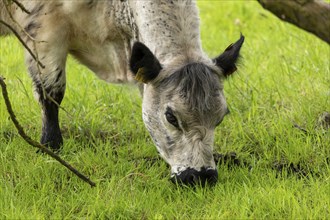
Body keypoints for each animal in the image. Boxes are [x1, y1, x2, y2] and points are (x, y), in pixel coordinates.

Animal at [0, 0, 245, 186]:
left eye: (221, 117)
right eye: (171, 117)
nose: (201, 176)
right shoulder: (45, 33)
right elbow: (51, 92)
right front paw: (51, 147)